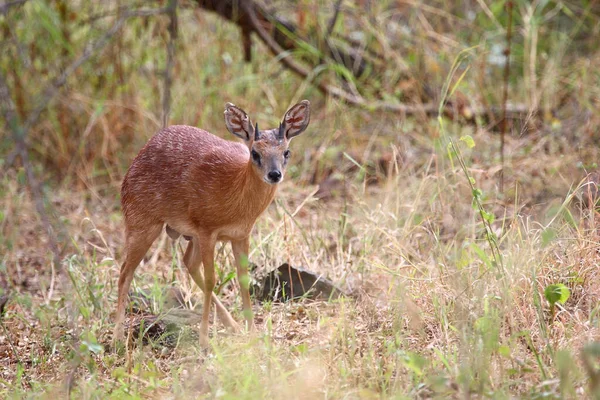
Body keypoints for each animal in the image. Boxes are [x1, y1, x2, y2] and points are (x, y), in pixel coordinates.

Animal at [113, 100, 312, 346]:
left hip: (188, 235)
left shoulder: (240, 234)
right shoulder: (207, 230)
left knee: (187, 262)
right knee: (125, 272)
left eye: (286, 151)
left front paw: (252, 333)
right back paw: (117, 339)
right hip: (142, 222)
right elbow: (211, 280)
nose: (274, 174)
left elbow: (243, 279)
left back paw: (233, 325)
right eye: (255, 153)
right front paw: (205, 339)